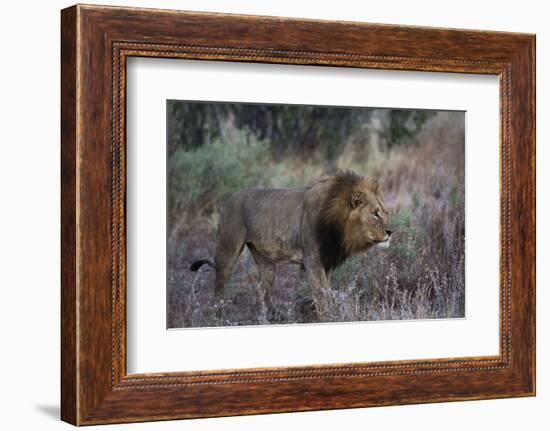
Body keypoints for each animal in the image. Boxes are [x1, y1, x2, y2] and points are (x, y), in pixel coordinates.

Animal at [192, 170, 394, 318]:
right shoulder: (313, 259)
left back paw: (272, 316)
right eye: (375, 214)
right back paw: (218, 315)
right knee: (219, 285)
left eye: (386, 212)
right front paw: (329, 315)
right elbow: (321, 292)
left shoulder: (326, 260)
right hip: (228, 248)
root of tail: (230, 198)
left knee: (263, 288)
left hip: (266, 261)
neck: (338, 225)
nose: (390, 232)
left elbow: (326, 289)